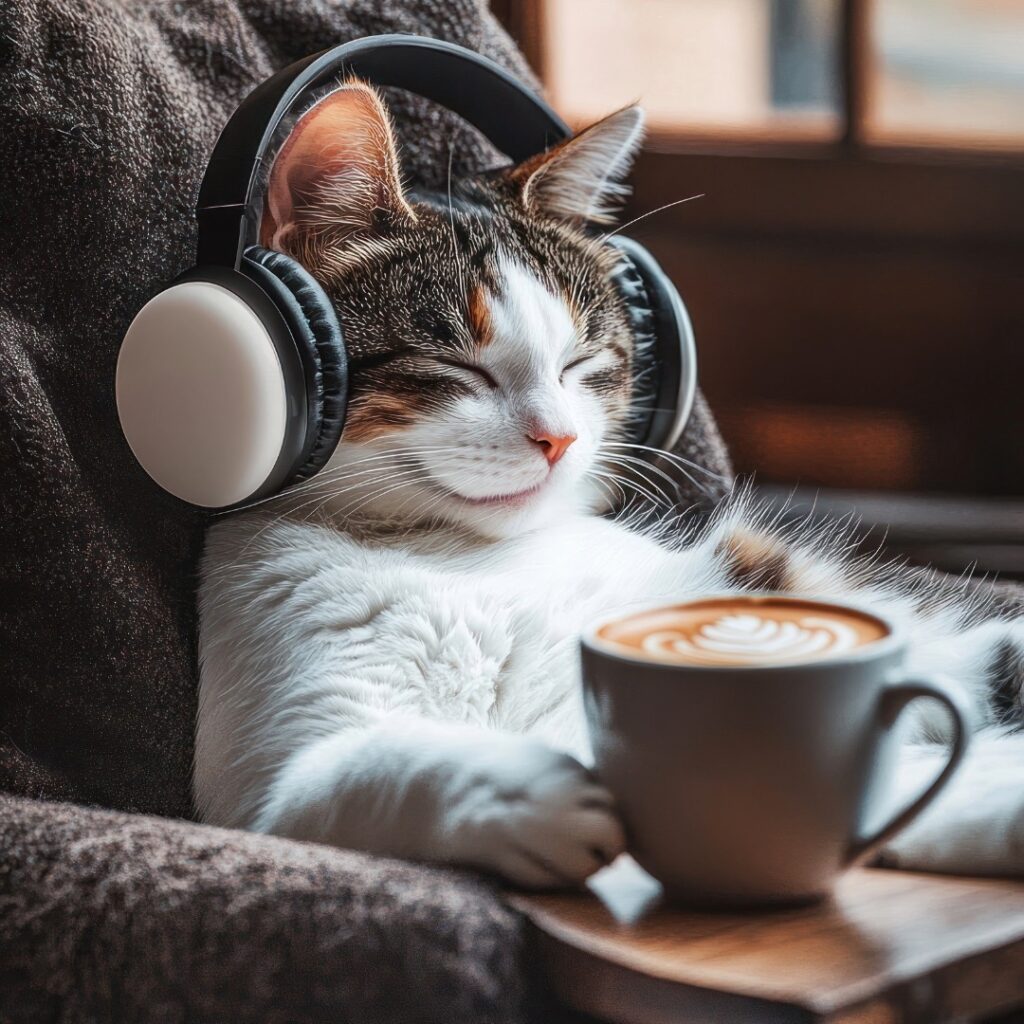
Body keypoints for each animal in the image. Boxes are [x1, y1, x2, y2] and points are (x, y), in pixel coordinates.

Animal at [193, 79, 1024, 884]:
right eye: (460, 365)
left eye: (581, 360)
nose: (558, 438)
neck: (455, 552)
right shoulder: (267, 738)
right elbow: (338, 777)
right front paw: (538, 794)